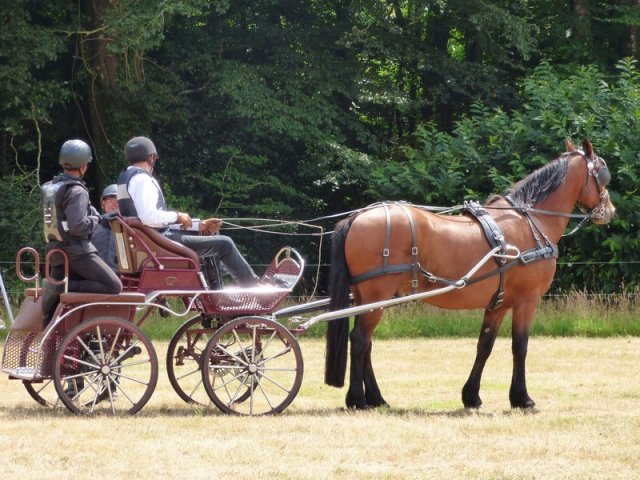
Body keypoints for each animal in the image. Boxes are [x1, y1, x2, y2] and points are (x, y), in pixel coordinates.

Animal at [325, 139, 616, 410]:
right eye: (603, 172)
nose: (610, 210)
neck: (531, 221)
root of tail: (356, 217)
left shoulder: (498, 304)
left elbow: (484, 345)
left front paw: (471, 396)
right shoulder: (527, 300)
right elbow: (520, 346)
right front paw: (522, 398)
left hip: (367, 298)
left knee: (367, 343)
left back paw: (377, 398)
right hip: (377, 295)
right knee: (360, 340)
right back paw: (357, 399)